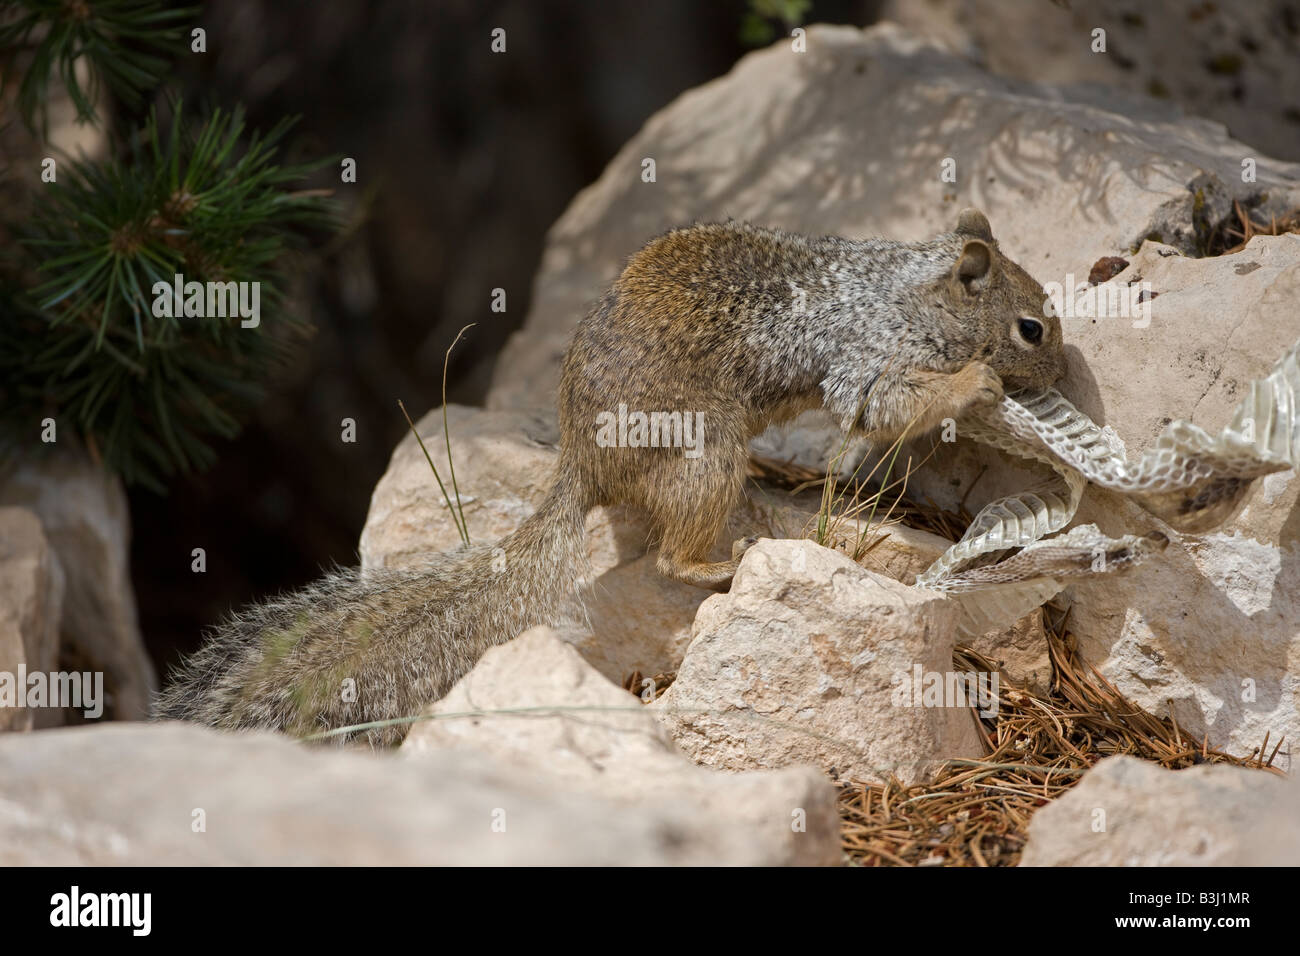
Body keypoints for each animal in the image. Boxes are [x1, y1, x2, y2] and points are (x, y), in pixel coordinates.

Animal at [152, 209, 1066, 749]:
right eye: (1031, 327)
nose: (1062, 369)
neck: (911, 290)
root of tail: (583, 466)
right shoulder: (869, 354)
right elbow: (883, 403)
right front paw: (977, 385)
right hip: (705, 458)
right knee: (671, 556)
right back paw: (724, 560)